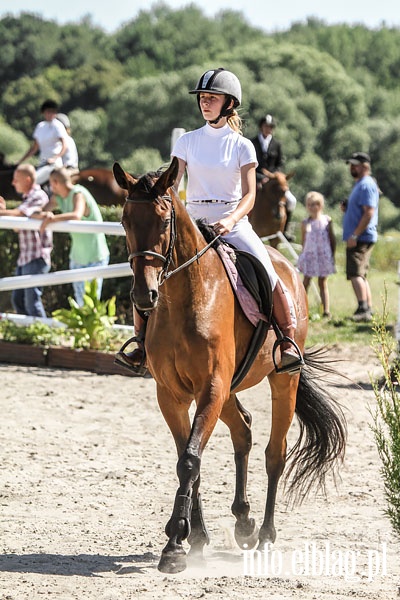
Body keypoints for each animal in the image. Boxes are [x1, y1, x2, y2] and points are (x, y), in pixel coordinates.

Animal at [113, 157, 346, 576]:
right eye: (124, 220)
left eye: (164, 220)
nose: (144, 295)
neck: (185, 298)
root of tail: (284, 263)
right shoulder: (172, 394)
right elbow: (188, 459)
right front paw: (194, 537)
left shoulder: (211, 387)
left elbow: (190, 460)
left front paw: (175, 545)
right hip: (229, 390)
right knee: (244, 430)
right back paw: (243, 521)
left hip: (280, 381)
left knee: (275, 453)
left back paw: (265, 534)